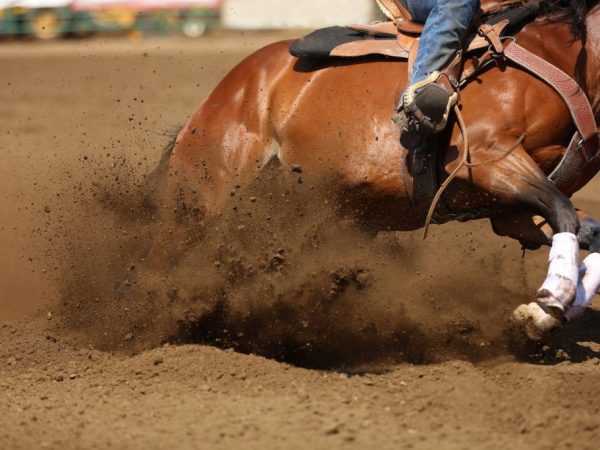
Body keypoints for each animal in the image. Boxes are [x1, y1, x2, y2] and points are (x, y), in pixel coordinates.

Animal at [159, 2, 600, 342]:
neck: (566, 58)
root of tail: (225, 91)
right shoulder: (489, 157)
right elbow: (563, 213)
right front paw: (548, 304)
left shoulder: (508, 211)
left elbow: (588, 232)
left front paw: (552, 309)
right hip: (211, 190)